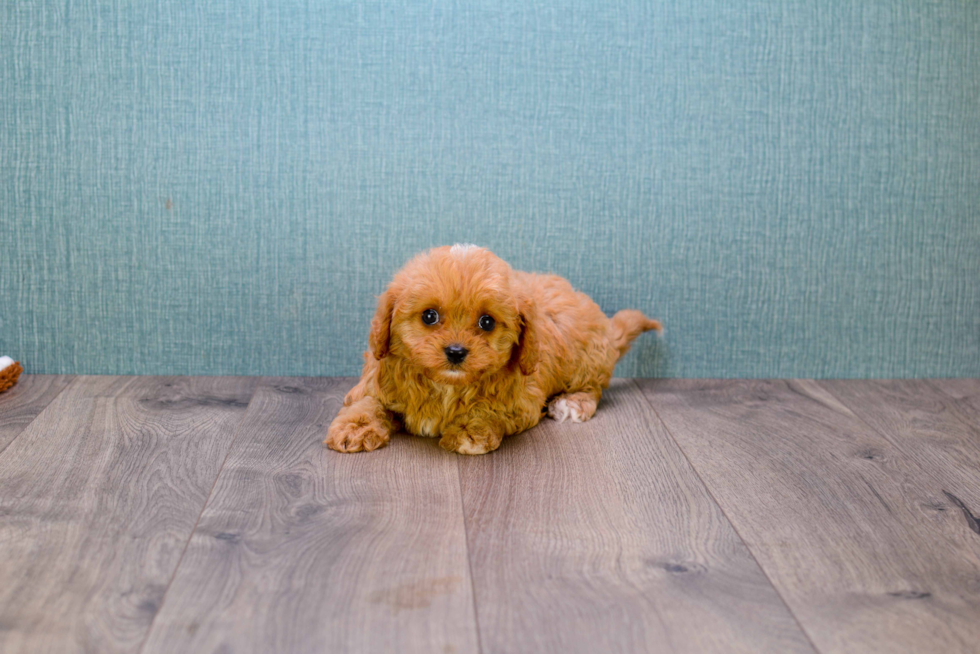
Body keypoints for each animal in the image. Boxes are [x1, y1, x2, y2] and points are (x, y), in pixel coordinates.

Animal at [326, 246, 664, 456]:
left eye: (486, 322)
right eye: (429, 316)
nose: (456, 351)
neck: (445, 385)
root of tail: (606, 325)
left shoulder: (522, 399)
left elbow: (490, 409)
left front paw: (469, 431)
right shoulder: (377, 378)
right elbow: (367, 402)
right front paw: (355, 428)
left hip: (586, 360)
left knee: (593, 388)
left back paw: (572, 403)